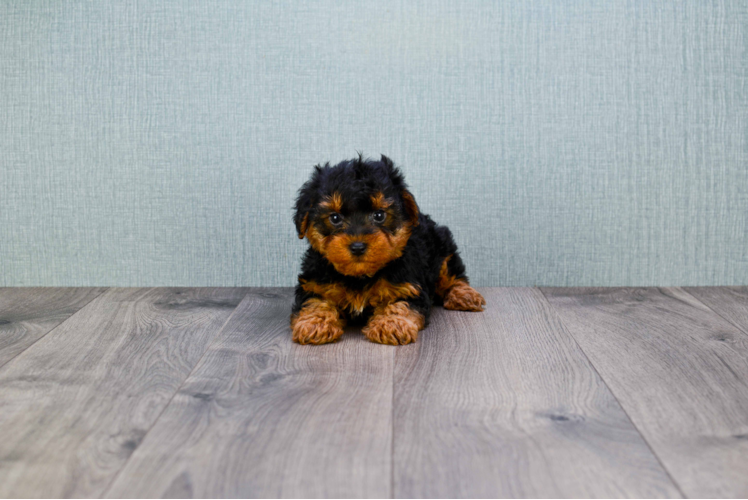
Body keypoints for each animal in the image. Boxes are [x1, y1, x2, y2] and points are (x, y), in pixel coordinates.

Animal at [292, 155, 486, 344]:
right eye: (334, 218)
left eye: (379, 215)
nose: (357, 246)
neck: (359, 277)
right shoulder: (315, 284)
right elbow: (315, 302)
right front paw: (315, 323)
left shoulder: (408, 286)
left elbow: (400, 305)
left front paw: (392, 324)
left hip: (441, 246)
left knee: (452, 274)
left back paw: (464, 295)